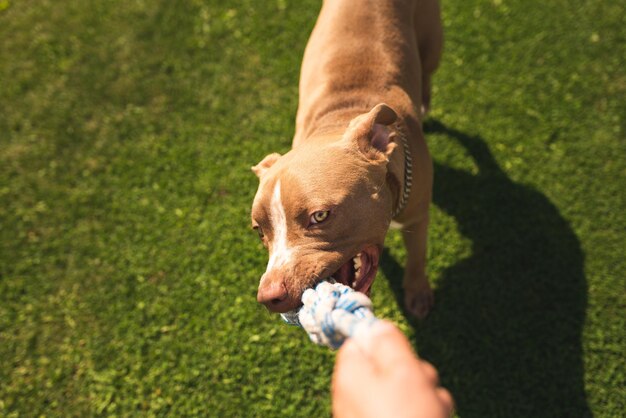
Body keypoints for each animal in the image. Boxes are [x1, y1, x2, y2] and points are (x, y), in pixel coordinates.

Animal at [251, 0, 442, 318]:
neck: (341, 116)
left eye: (320, 216)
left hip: (432, 43)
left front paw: (417, 293)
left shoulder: (418, 216)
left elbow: (417, 258)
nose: (269, 297)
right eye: (259, 231)